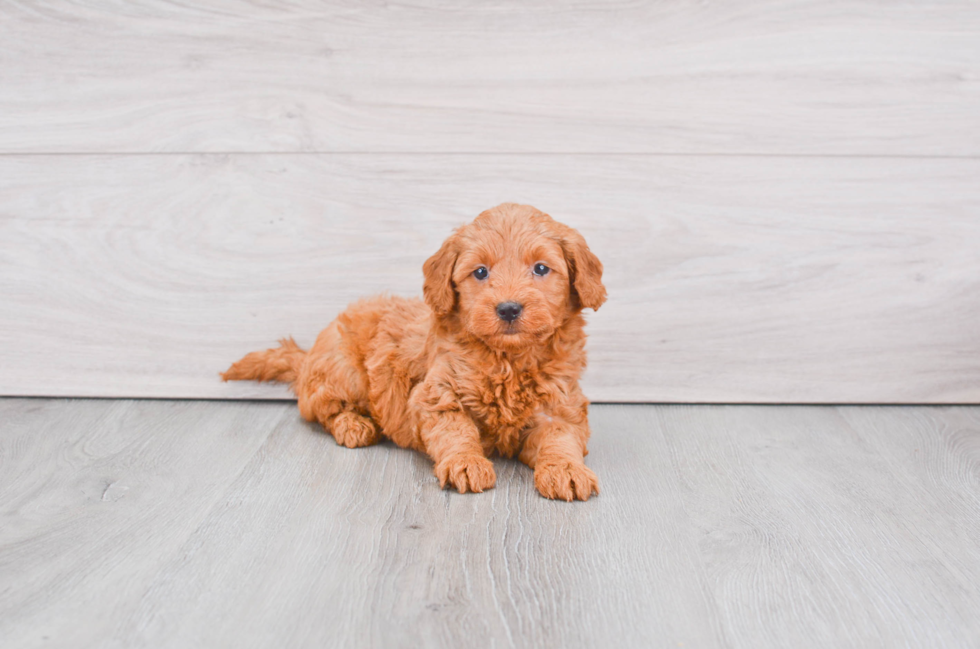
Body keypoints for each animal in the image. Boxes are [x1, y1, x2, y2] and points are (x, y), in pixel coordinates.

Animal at [222, 204, 604, 502]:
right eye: (480, 272)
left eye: (541, 268)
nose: (508, 309)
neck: (506, 360)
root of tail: (307, 360)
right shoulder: (436, 396)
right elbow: (457, 431)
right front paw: (466, 462)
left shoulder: (561, 405)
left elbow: (559, 438)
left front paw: (567, 469)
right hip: (343, 371)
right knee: (324, 410)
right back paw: (353, 425)